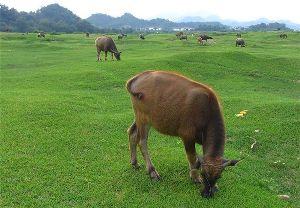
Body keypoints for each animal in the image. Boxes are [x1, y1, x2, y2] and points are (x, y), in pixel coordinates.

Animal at [126, 70, 239, 198]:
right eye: (203, 174)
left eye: (219, 176)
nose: (207, 194)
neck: (206, 111)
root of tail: (137, 77)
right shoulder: (187, 136)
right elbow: (192, 157)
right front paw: (195, 177)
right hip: (143, 118)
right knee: (142, 142)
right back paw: (152, 172)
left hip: (140, 118)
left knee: (132, 133)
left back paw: (134, 163)